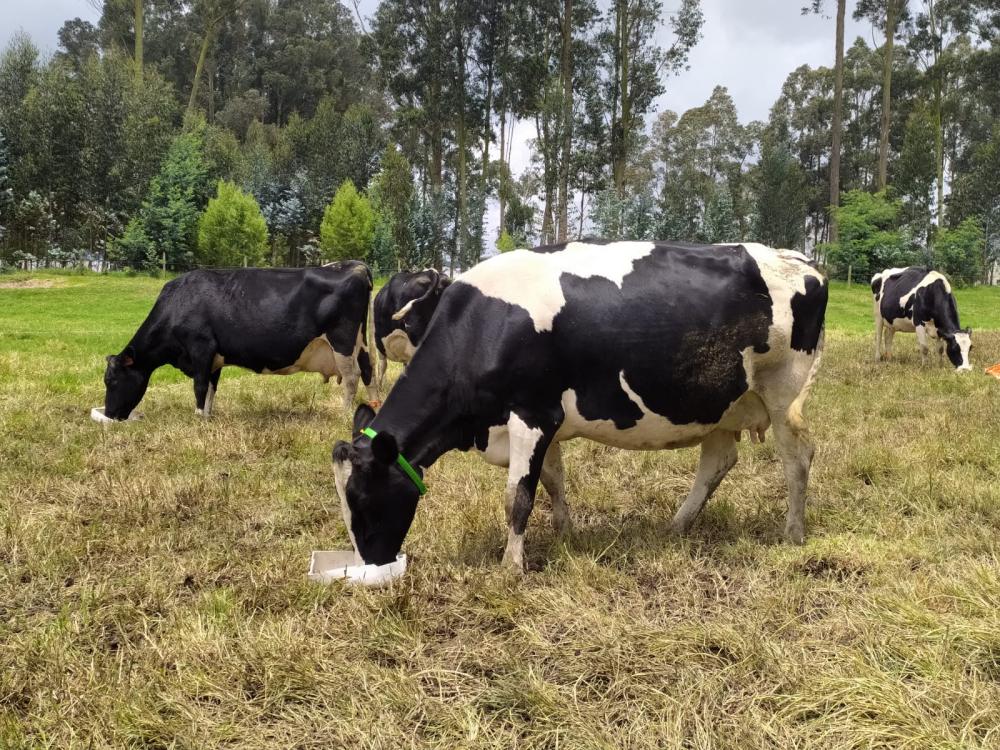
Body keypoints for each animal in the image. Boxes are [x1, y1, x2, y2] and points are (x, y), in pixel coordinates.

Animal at [102, 262, 376, 420]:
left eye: (111, 381)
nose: (110, 414)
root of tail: (354, 266)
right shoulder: (214, 355)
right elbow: (211, 387)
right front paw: (207, 417)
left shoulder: (201, 347)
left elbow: (199, 386)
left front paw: (197, 418)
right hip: (360, 342)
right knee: (368, 371)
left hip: (342, 341)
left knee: (352, 377)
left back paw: (344, 415)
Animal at [334, 244, 828, 572]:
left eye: (364, 499)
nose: (371, 564)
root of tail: (803, 262)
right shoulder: (546, 421)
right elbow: (552, 481)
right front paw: (566, 534)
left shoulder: (532, 416)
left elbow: (517, 497)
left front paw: (510, 568)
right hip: (721, 402)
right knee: (719, 461)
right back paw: (676, 526)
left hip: (783, 393)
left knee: (798, 457)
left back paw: (792, 532)